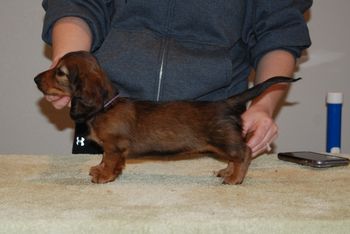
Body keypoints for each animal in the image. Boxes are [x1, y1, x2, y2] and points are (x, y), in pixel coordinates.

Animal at [34, 51, 300, 185]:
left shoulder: (114, 146)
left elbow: (110, 161)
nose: (35, 79)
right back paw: (227, 171)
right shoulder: (111, 148)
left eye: (60, 72)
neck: (105, 107)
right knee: (236, 157)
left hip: (224, 141)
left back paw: (235, 178)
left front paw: (104, 175)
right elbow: (105, 160)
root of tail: (225, 103)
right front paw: (99, 169)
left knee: (245, 153)